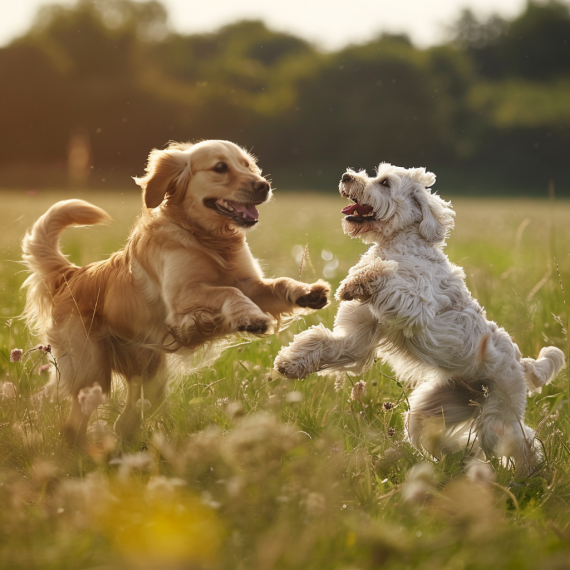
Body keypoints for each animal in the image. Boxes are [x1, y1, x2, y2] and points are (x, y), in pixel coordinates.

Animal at [276, 162, 564, 472]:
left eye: (385, 183)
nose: (346, 177)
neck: (398, 243)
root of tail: (523, 363)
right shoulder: (358, 337)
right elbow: (320, 342)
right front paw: (289, 363)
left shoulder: (416, 305)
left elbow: (384, 274)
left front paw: (358, 281)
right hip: (440, 405)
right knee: (434, 435)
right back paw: (460, 460)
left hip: (498, 414)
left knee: (520, 443)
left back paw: (531, 475)